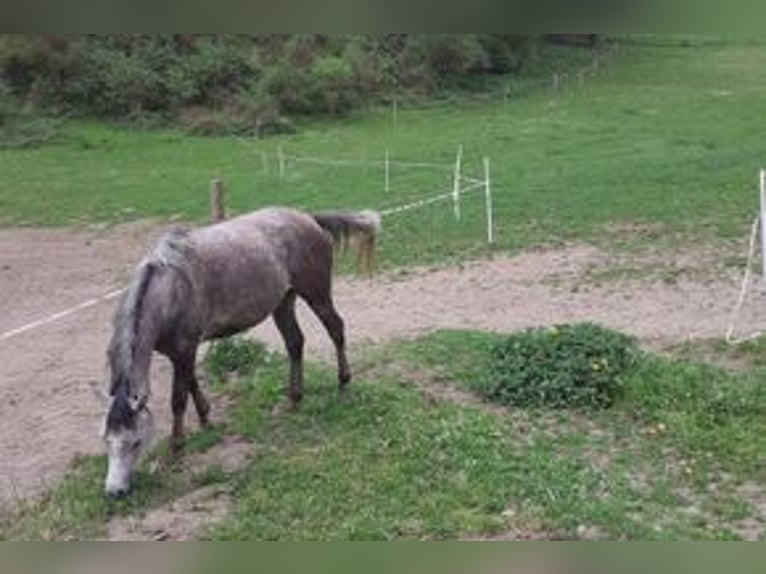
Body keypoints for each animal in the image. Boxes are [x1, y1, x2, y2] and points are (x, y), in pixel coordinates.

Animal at [100, 206, 380, 497]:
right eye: (107, 440)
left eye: (135, 442)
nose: (114, 492)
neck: (170, 289)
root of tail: (308, 218)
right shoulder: (179, 353)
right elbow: (192, 383)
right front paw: (205, 417)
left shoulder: (185, 349)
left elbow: (178, 398)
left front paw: (178, 446)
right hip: (283, 302)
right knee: (295, 343)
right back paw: (294, 398)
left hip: (317, 294)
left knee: (336, 329)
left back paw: (343, 382)